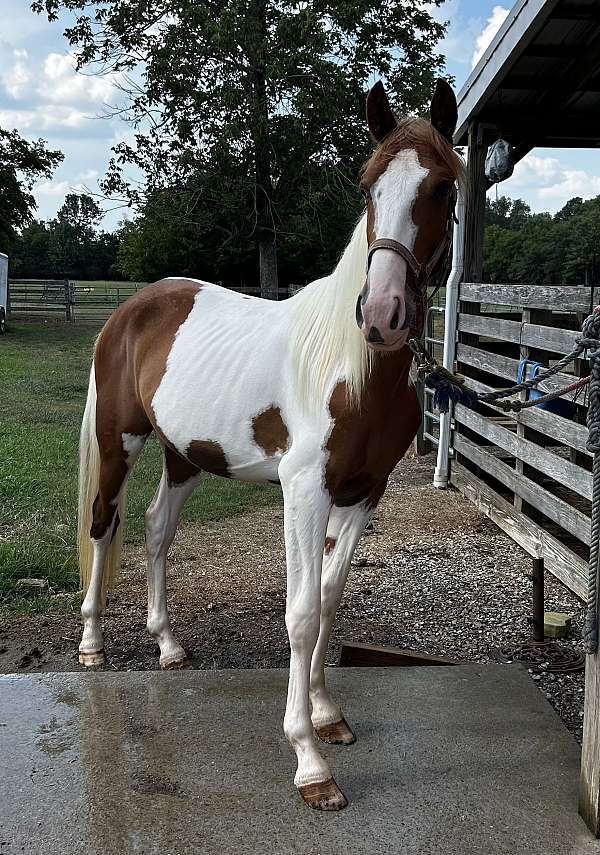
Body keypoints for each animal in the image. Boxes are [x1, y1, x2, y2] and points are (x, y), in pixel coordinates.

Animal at [76, 78, 464, 808]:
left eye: (444, 187)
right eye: (368, 186)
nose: (383, 315)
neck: (354, 369)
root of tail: (130, 309)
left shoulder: (363, 492)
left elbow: (332, 599)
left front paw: (327, 713)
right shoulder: (303, 490)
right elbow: (303, 612)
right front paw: (309, 759)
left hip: (184, 455)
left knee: (155, 529)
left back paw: (168, 645)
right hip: (122, 443)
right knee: (104, 524)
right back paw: (90, 642)